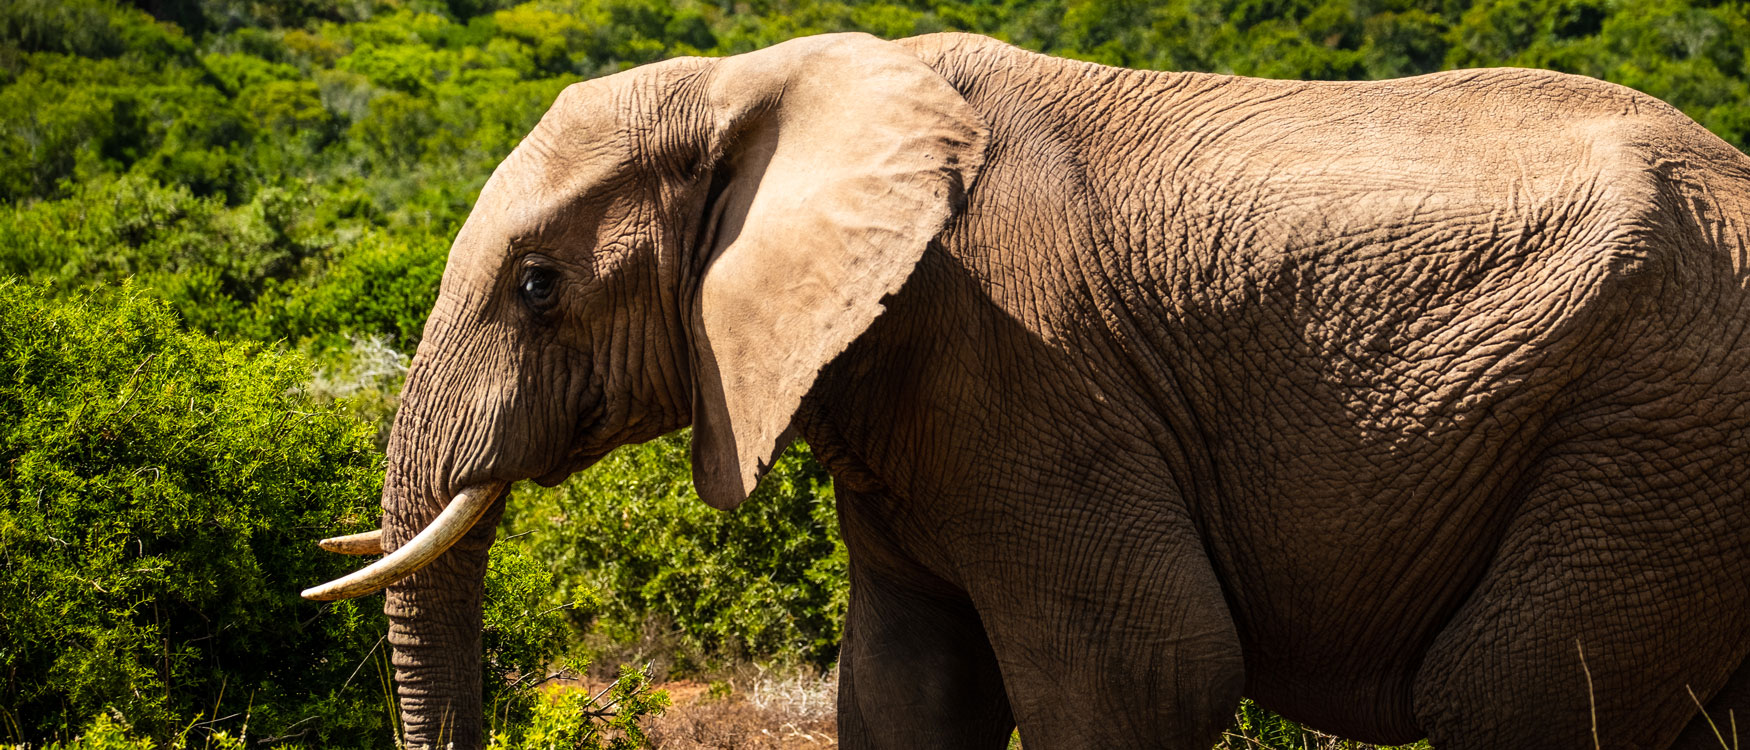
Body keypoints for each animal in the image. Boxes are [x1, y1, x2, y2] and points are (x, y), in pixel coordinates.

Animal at [302, 31, 1750, 749]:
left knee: (1507, 699)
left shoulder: (1026, 371)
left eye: (538, 285)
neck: (760, 84)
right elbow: (904, 696)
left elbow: (1144, 672)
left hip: (1654, 435)